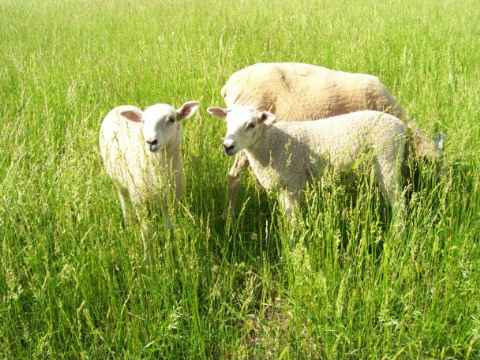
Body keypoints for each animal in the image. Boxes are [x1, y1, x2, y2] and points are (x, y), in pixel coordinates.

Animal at [99, 98, 199, 256]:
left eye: (172, 119)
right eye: (144, 121)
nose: (151, 142)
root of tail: (119, 107)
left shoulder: (170, 201)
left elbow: (169, 227)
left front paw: (170, 251)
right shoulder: (140, 201)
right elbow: (146, 231)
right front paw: (149, 256)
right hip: (118, 181)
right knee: (124, 200)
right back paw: (129, 224)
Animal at [208, 105, 406, 219]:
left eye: (251, 125)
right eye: (227, 122)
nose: (228, 146)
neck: (270, 142)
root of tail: (400, 125)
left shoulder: (293, 183)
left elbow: (294, 221)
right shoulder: (283, 188)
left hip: (388, 160)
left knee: (399, 203)